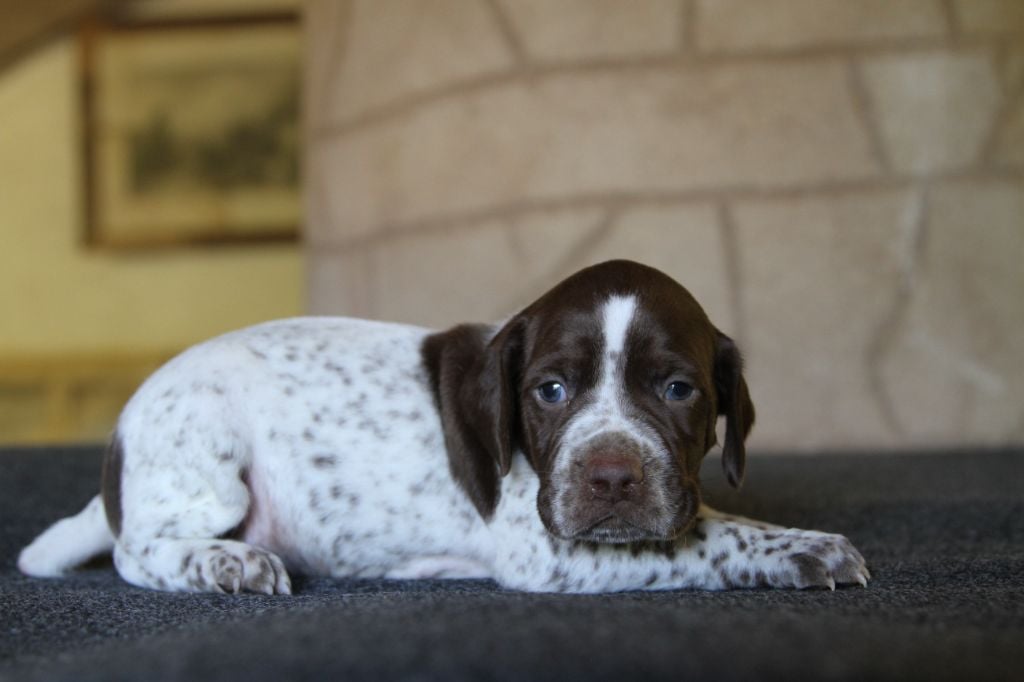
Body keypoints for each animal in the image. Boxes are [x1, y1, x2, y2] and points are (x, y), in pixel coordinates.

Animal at [19, 260, 868, 594]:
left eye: (679, 389)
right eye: (550, 390)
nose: (611, 480)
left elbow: (705, 518)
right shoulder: (549, 549)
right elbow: (703, 537)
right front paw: (802, 551)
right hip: (207, 458)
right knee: (136, 551)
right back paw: (226, 562)